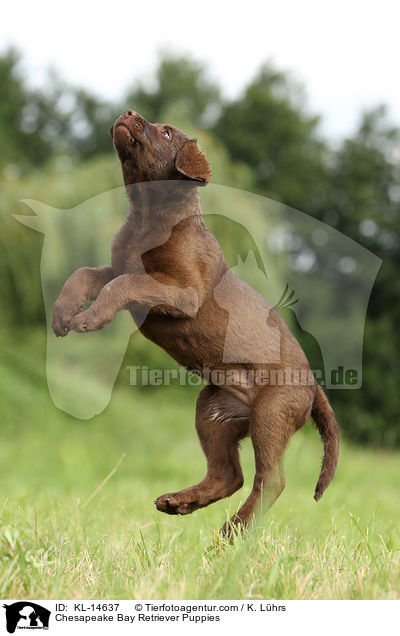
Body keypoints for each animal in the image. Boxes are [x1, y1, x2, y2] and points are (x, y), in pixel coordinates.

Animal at [53, 109, 340, 532]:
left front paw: (90, 318)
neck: (147, 216)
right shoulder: (117, 266)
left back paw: (234, 530)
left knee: (271, 479)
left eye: (166, 133)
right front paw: (63, 312)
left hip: (271, 414)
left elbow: (123, 284)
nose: (127, 112)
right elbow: (86, 273)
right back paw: (179, 502)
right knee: (228, 474)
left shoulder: (182, 291)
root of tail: (314, 385)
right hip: (213, 410)